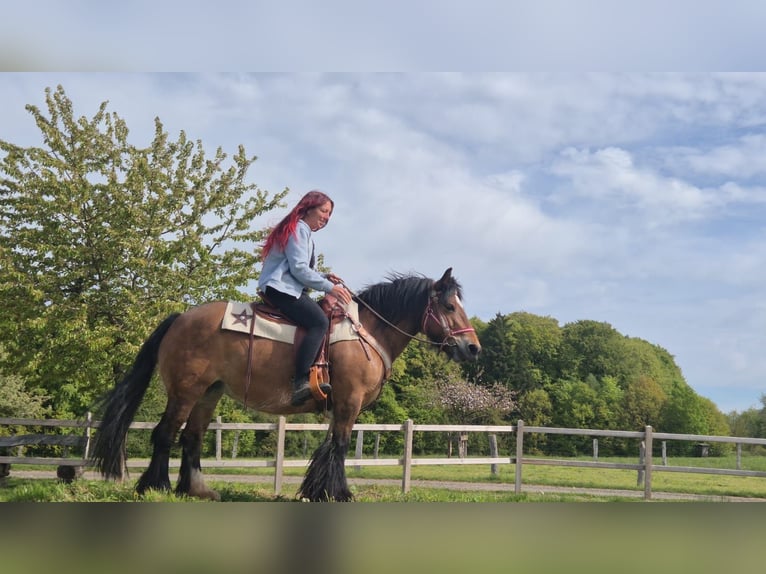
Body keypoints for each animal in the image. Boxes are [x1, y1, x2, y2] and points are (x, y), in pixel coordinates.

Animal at [90, 267, 481, 501]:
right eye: (449, 306)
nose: (473, 347)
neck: (366, 332)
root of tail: (180, 318)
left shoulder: (341, 406)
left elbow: (330, 447)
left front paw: (319, 489)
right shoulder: (348, 402)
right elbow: (340, 446)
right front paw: (338, 493)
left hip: (208, 393)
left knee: (191, 438)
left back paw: (196, 489)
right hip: (185, 391)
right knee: (165, 433)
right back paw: (155, 486)